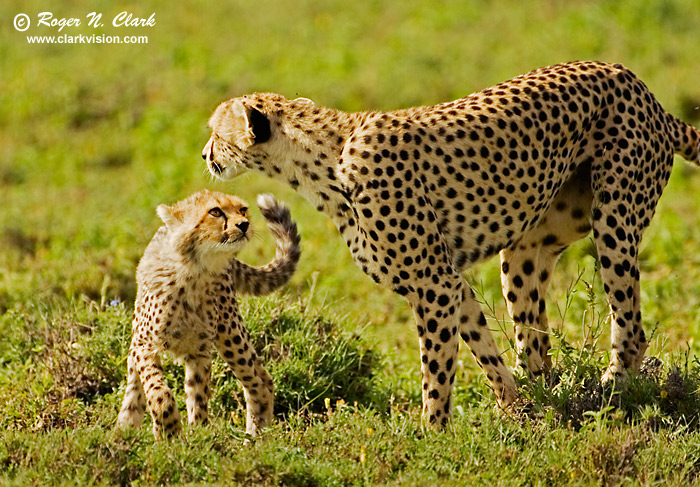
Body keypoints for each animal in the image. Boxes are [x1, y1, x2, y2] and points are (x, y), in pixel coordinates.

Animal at [116, 189, 301, 439]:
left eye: (242, 210)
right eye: (215, 212)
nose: (244, 224)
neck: (195, 271)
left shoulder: (199, 352)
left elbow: (198, 395)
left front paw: (196, 434)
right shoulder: (145, 346)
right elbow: (158, 390)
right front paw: (170, 430)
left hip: (231, 335)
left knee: (260, 383)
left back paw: (255, 438)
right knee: (134, 386)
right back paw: (124, 430)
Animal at [202, 61, 700, 428]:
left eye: (215, 133)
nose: (205, 155)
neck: (323, 162)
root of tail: (640, 87)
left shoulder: (432, 283)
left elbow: (436, 370)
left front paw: (432, 434)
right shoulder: (449, 283)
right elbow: (485, 352)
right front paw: (516, 411)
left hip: (614, 221)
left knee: (631, 330)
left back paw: (605, 395)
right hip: (526, 250)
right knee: (536, 344)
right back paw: (552, 395)